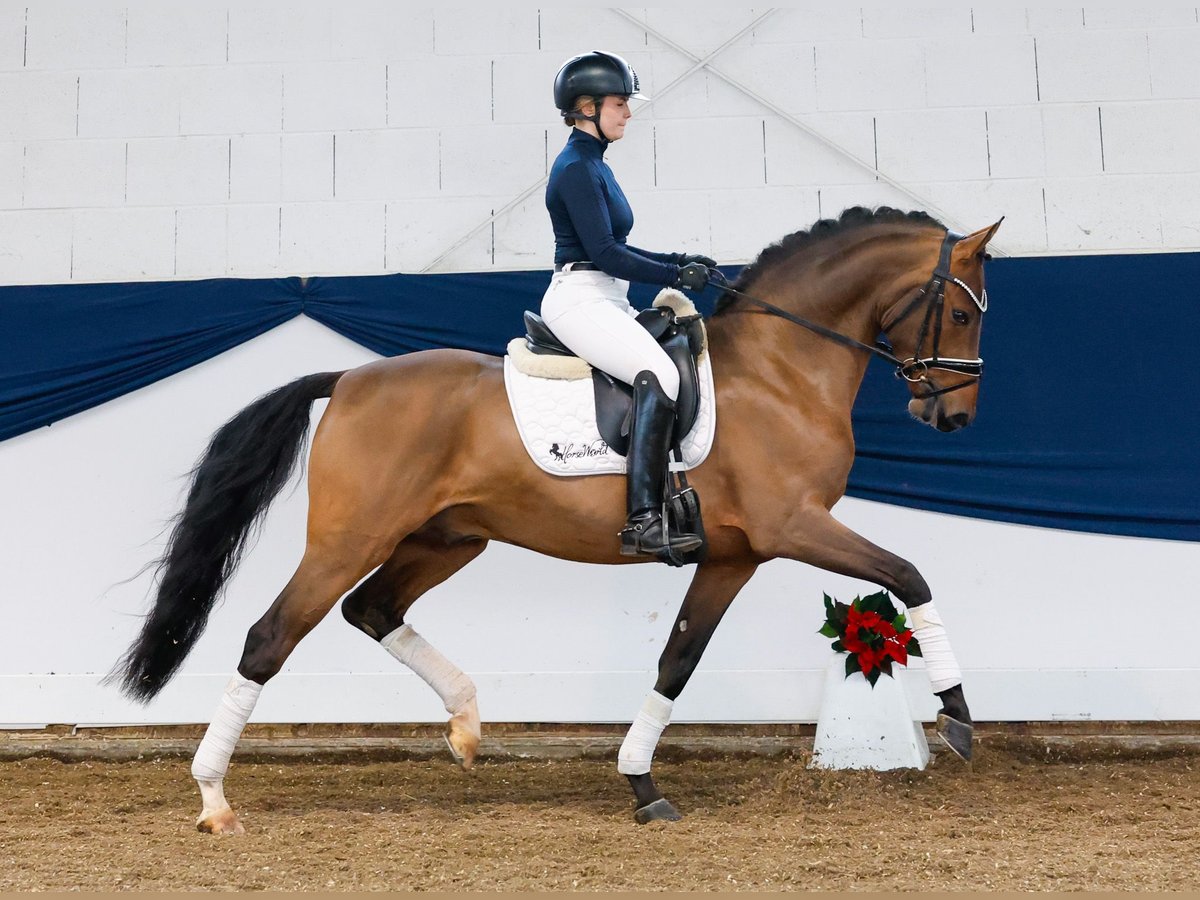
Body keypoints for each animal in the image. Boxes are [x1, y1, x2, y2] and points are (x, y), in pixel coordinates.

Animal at [110, 202, 1003, 830]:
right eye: (963, 314)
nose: (953, 418)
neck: (784, 371)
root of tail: (350, 380)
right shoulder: (795, 526)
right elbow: (909, 575)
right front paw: (957, 716)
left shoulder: (733, 555)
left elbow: (677, 662)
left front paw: (642, 784)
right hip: (351, 537)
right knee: (271, 637)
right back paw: (214, 800)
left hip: (448, 537)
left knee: (372, 609)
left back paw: (467, 725)